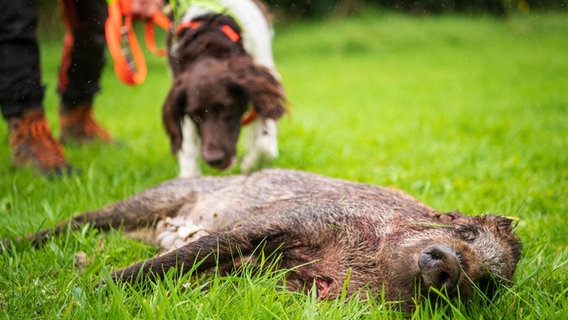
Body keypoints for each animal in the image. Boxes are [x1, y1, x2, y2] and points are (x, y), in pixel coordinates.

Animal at [162, 0, 286, 176]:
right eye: (195, 115)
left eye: (227, 108)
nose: (214, 159)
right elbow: (188, 147)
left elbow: (264, 144)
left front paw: (249, 164)